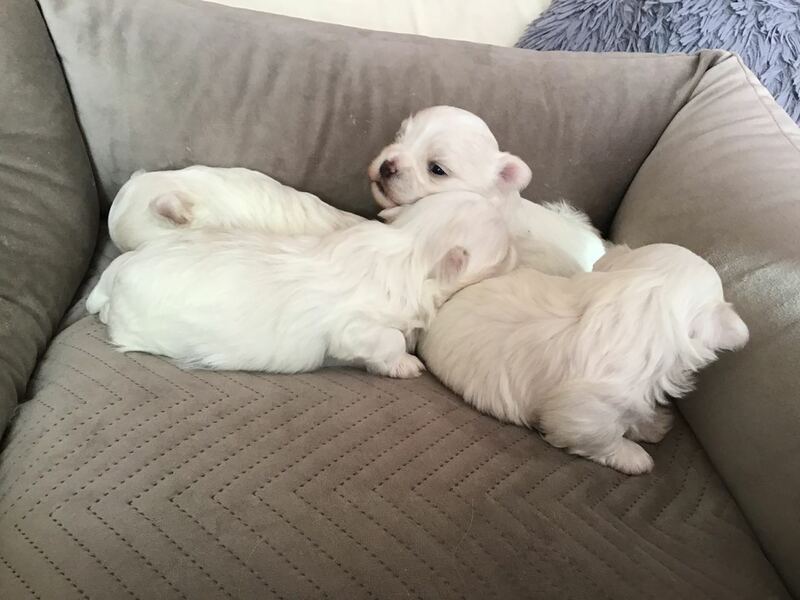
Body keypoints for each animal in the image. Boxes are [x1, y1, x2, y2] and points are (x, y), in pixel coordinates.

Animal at [88, 191, 516, 377]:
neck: (408, 246)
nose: (518, 249)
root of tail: (116, 273)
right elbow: (389, 339)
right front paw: (406, 364)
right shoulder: (355, 327)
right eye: (504, 249)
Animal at [418, 244, 749, 474]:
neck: (645, 299)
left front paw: (651, 425)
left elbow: (634, 413)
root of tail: (445, 301)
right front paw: (632, 455)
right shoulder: (588, 410)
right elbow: (602, 437)